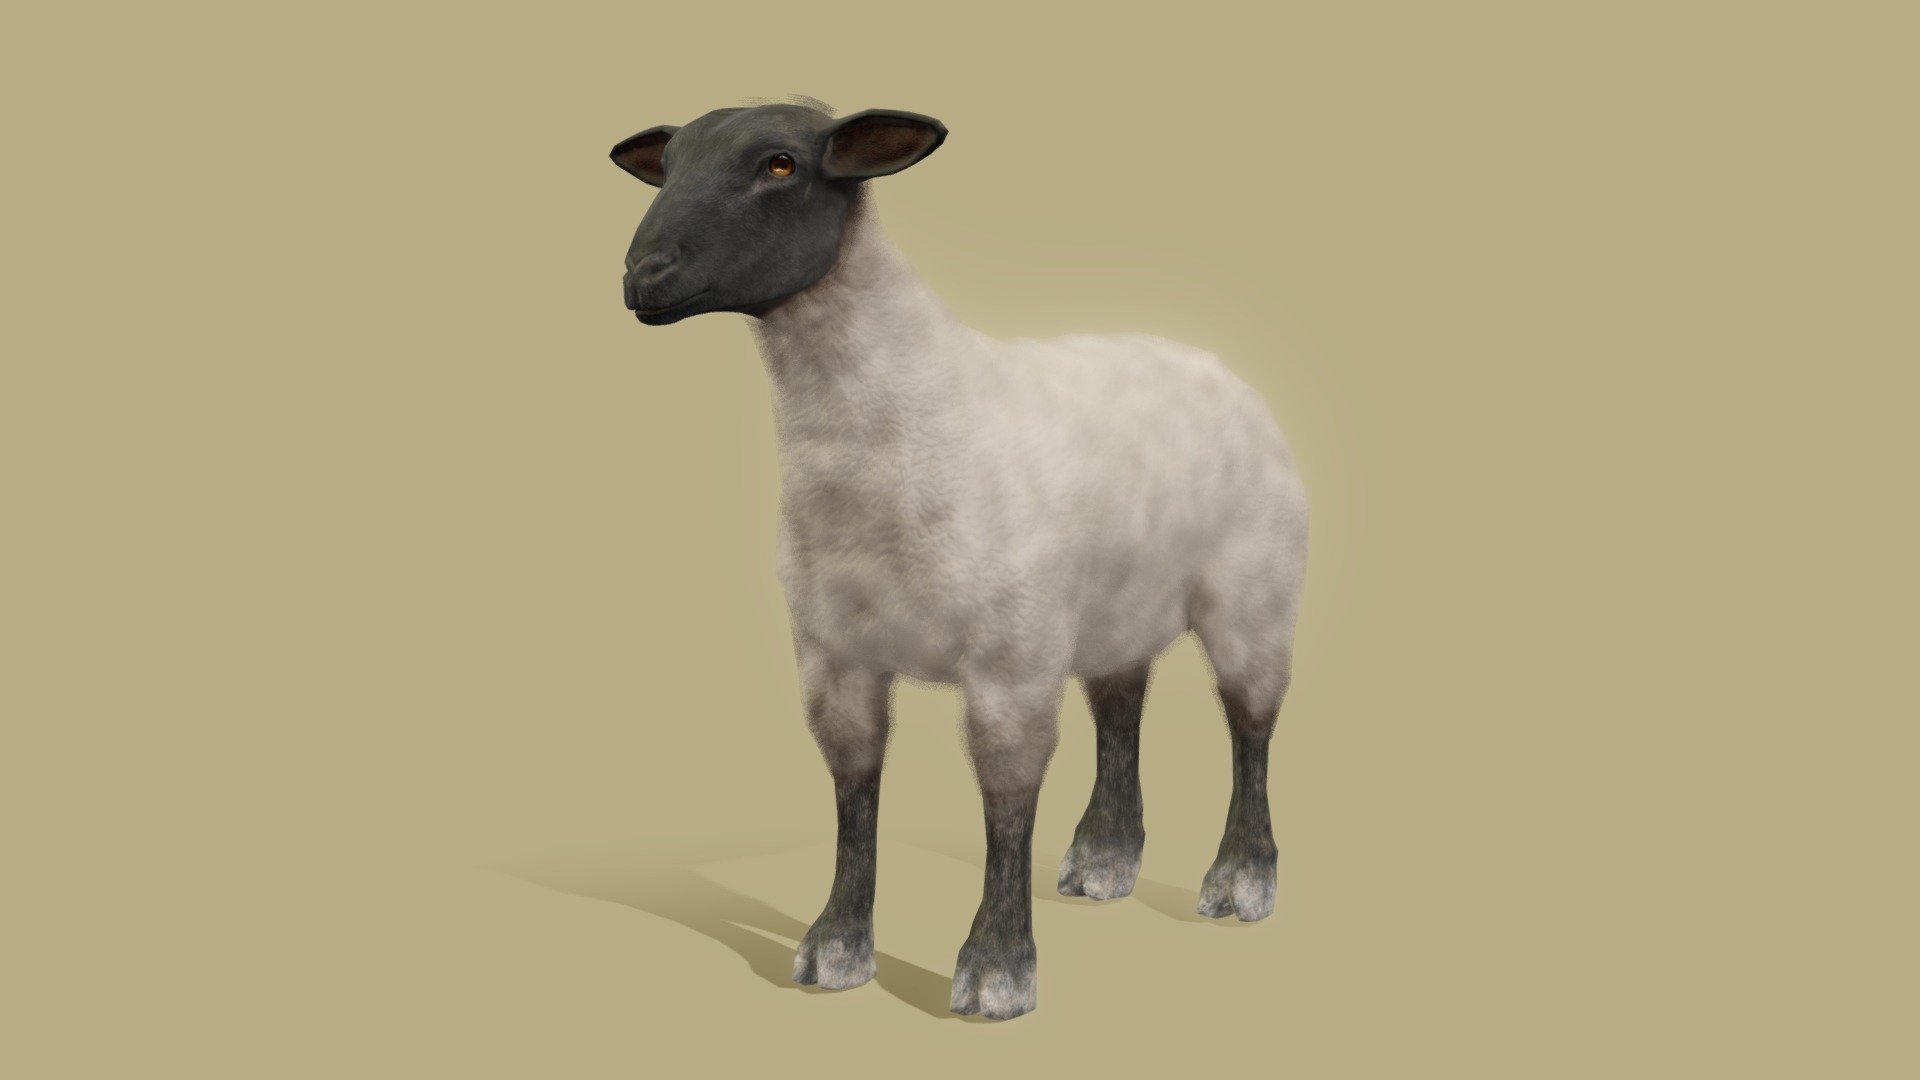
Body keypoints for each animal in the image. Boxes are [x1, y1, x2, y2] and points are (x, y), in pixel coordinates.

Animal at [610, 102, 1309, 1021]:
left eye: (780, 164)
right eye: (670, 165)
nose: (643, 276)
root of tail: (1215, 364)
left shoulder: (1009, 658)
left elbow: (1007, 801)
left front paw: (996, 969)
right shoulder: (834, 656)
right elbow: (854, 787)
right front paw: (835, 946)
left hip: (1253, 593)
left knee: (1252, 724)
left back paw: (1239, 880)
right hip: (1113, 607)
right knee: (1122, 708)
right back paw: (1104, 860)